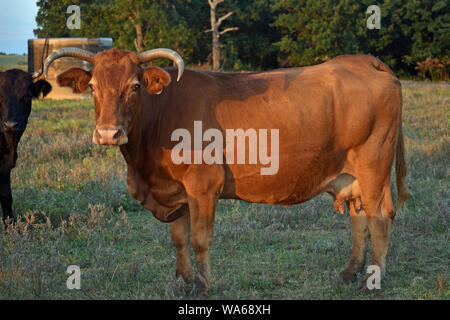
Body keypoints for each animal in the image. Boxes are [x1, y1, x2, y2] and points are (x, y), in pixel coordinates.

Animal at [44, 48, 408, 296]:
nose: (108, 134)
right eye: (92, 87)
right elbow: (179, 238)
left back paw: (373, 278)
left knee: (379, 216)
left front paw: (203, 286)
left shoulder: (203, 185)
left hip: (374, 165)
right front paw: (182, 281)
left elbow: (200, 239)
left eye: (134, 86)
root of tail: (363, 60)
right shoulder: (174, 190)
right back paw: (350, 272)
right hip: (351, 175)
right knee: (359, 218)